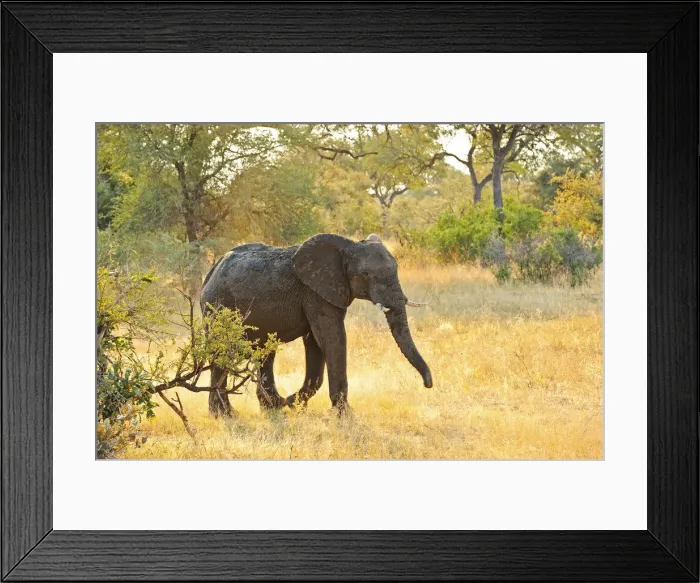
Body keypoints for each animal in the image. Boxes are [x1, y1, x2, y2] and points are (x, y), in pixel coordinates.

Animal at [200, 233, 432, 416]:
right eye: (366, 275)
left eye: (397, 269)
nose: (427, 384)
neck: (347, 247)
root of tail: (211, 271)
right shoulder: (315, 293)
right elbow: (331, 338)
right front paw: (343, 415)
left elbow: (315, 342)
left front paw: (292, 403)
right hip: (218, 306)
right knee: (222, 351)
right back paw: (225, 415)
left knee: (265, 352)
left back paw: (271, 407)